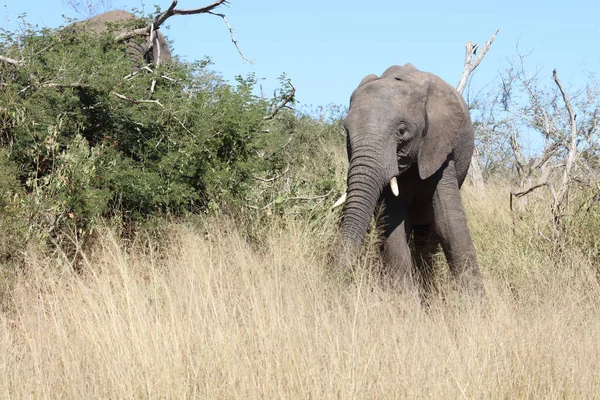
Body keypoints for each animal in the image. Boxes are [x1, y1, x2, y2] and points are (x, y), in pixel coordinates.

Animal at [338, 62, 482, 294]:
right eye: (346, 131)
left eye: (402, 131)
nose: (335, 281)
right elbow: (393, 223)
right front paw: (406, 300)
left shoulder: (439, 145)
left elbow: (447, 221)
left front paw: (476, 301)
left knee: (428, 235)